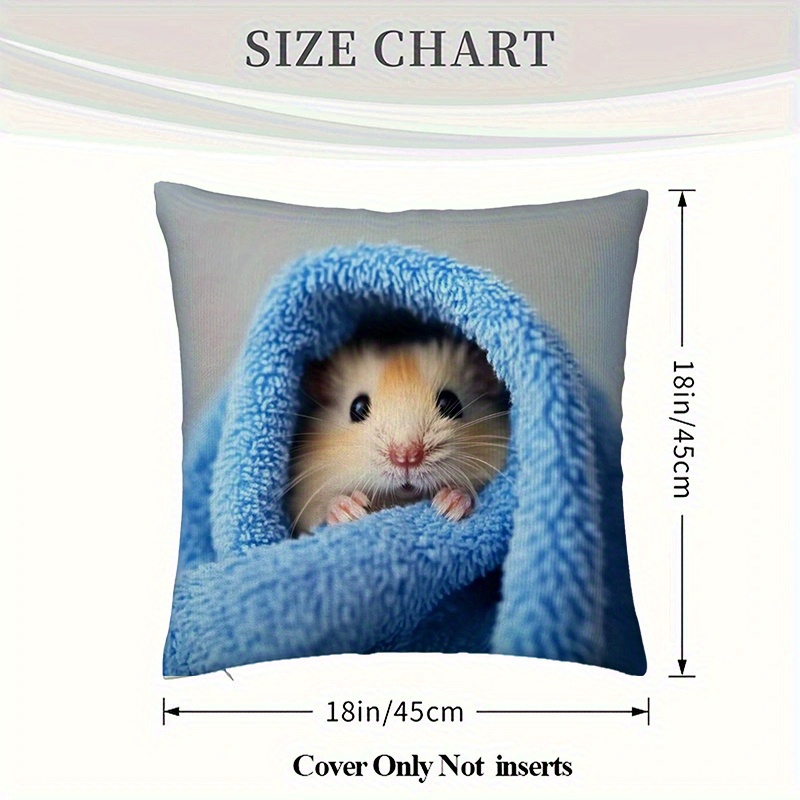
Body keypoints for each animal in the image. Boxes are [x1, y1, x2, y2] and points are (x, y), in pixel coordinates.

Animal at [288, 336, 510, 535]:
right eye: (357, 408)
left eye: (450, 402)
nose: (406, 457)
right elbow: (324, 507)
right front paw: (351, 510)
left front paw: (448, 505)